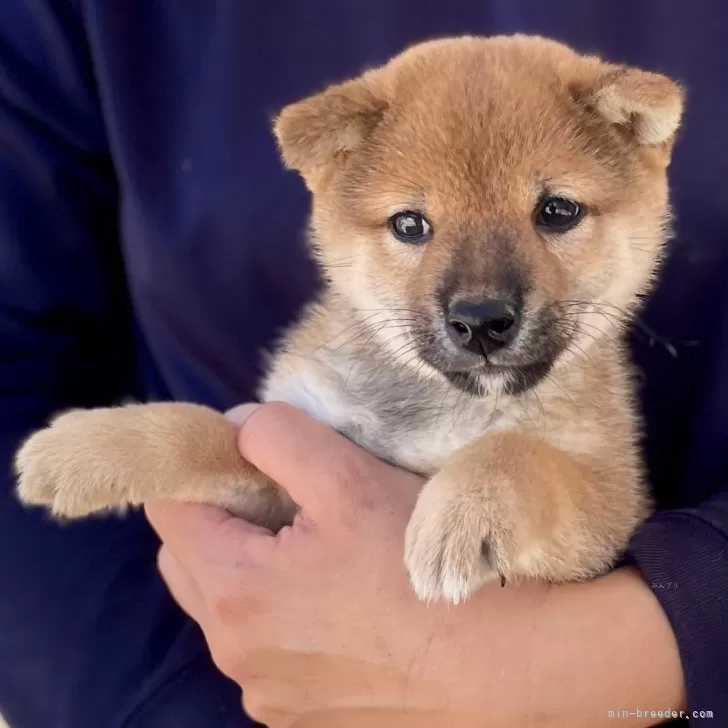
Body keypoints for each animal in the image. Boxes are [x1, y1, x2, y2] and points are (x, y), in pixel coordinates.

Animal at [14, 34, 684, 604]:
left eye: (557, 211)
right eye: (410, 224)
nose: (481, 320)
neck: (440, 408)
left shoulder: (611, 501)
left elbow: (520, 455)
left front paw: (463, 513)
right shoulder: (287, 462)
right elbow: (198, 430)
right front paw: (83, 447)